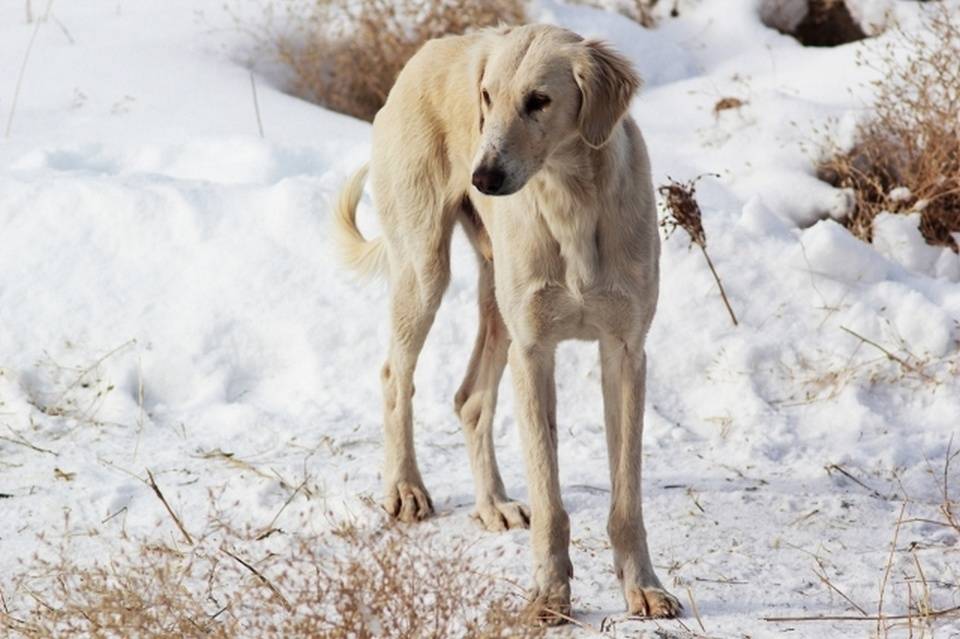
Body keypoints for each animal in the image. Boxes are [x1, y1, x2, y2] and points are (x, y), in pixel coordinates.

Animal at [338, 25, 684, 624]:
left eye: (539, 100)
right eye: (486, 97)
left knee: (471, 399)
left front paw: (642, 585)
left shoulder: (625, 351)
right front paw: (549, 594)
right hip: (425, 271)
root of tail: (427, 50)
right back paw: (405, 487)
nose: (483, 177)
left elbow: (627, 498)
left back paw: (493, 503)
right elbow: (550, 498)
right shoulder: (534, 351)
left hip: (495, 302)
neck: (570, 200)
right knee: (394, 376)